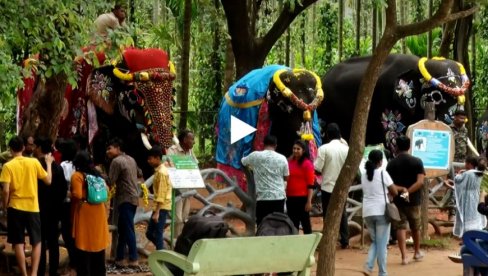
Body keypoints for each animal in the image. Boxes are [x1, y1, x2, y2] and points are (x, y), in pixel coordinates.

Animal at [316, 54, 468, 155]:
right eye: (437, 96)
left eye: (462, 98)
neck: (415, 67)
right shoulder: (388, 104)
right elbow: (394, 139)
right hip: (325, 111)